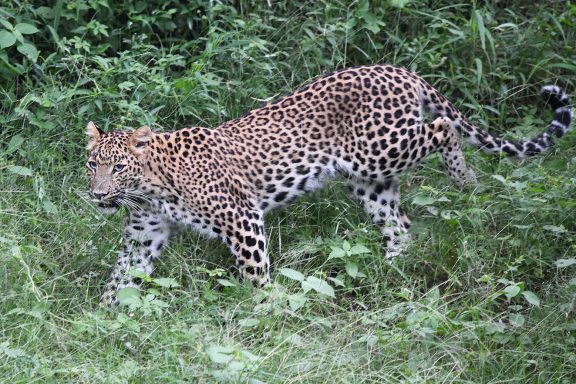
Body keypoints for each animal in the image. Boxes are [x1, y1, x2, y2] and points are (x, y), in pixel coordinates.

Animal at [85, 65, 572, 306]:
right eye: (92, 165)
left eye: (119, 168)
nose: (97, 195)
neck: (152, 188)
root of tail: (398, 69)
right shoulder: (144, 236)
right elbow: (119, 279)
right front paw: (100, 320)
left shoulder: (243, 219)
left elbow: (255, 276)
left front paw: (266, 314)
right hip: (369, 181)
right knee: (400, 226)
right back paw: (388, 271)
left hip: (382, 147)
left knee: (444, 127)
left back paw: (465, 182)